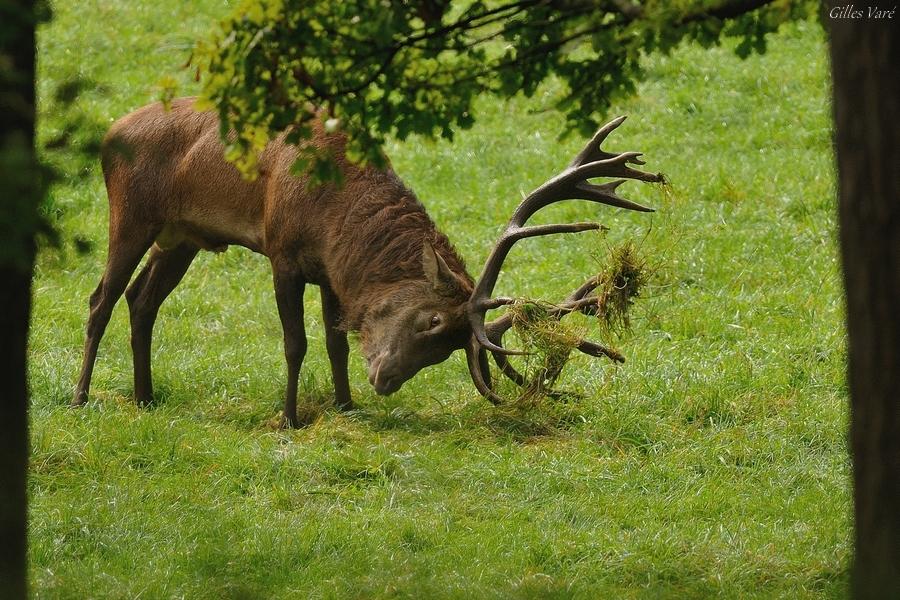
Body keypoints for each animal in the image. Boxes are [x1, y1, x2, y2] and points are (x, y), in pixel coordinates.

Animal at [72, 97, 662, 427]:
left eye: (445, 352)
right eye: (431, 321)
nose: (384, 380)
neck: (333, 215)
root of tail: (109, 131)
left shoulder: (330, 271)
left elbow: (335, 339)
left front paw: (345, 404)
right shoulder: (282, 252)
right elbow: (296, 342)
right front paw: (289, 417)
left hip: (183, 237)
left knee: (141, 298)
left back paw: (146, 398)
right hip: (132, 214)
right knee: (101, 297)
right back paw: (80, 398)